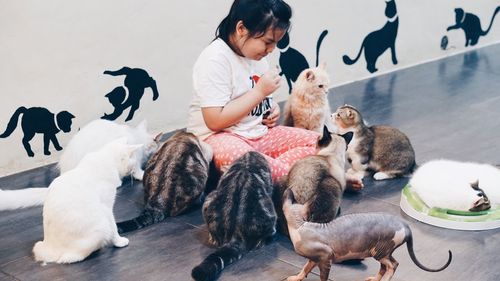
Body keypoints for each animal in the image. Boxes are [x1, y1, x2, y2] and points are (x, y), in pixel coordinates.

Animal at [282, 188, 454, 280]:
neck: (300, 225)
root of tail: (404, 224)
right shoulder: (314, 258)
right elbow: (305, 267)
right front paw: (296, 278)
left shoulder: (326, 256)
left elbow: (322, 275)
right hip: (383, 249)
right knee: (388, 264)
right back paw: (375, 279)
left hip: (380, 249)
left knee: (393, 265)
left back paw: (384, 280)